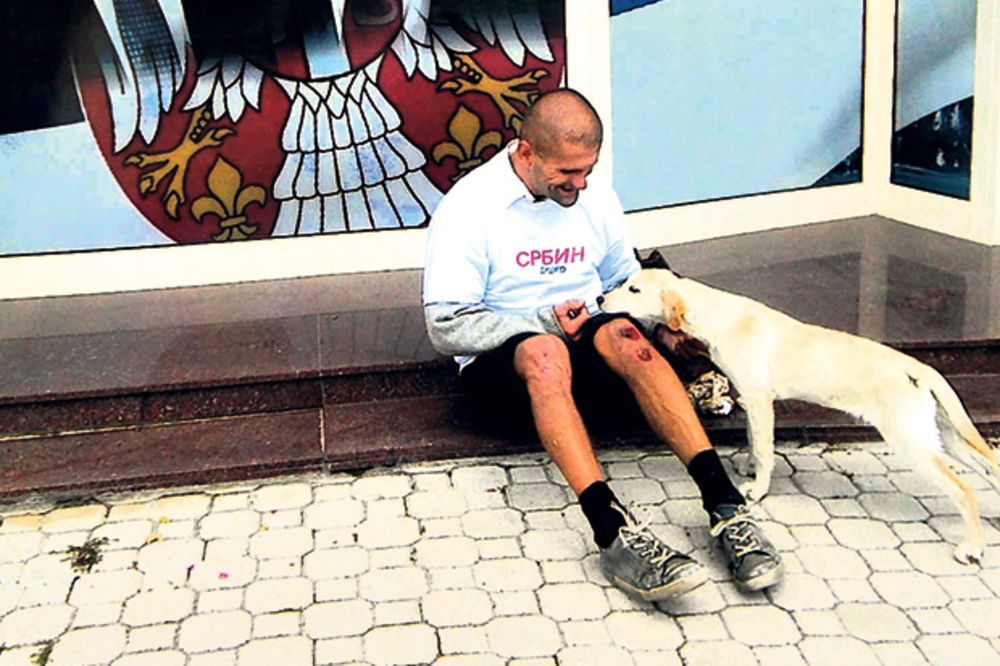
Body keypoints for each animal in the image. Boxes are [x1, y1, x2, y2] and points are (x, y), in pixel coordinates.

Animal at [600, 268, 1000, 564]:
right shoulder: (751, 400)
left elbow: (764, 450)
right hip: (946, 438)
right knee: (989, 469)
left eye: (633, 288)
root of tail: (919, 368)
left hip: (911, 443)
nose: (601, 298)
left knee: (964, 490)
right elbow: (753, 441)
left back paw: (972, 547)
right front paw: (748, 468)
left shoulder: (759, 399)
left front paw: (758, 488)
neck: (719, 315)